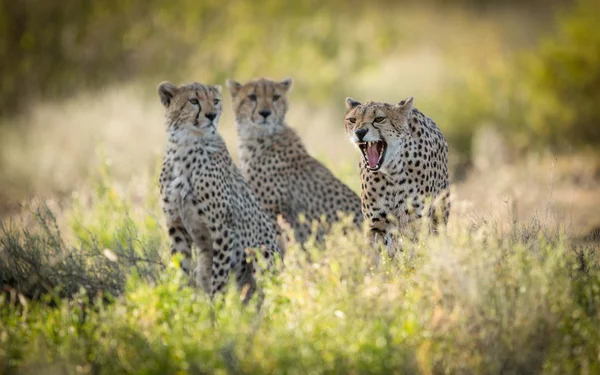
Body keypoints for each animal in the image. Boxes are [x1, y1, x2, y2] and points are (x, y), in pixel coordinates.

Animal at [157, 81, 284, 298]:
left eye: (215, 101)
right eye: (193, 101)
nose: (211, 115)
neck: (185, 145)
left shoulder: (222, 227)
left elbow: (220, 277)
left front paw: (217, 305)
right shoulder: (176, 224)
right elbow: (181, 269)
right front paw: (182, 301)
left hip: (262, 254)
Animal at [342, 95, 450, 251]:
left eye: (379, 119)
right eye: (352, 120)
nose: (360, 132)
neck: (392, 170)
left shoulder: (414, 220)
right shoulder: (376, 224)